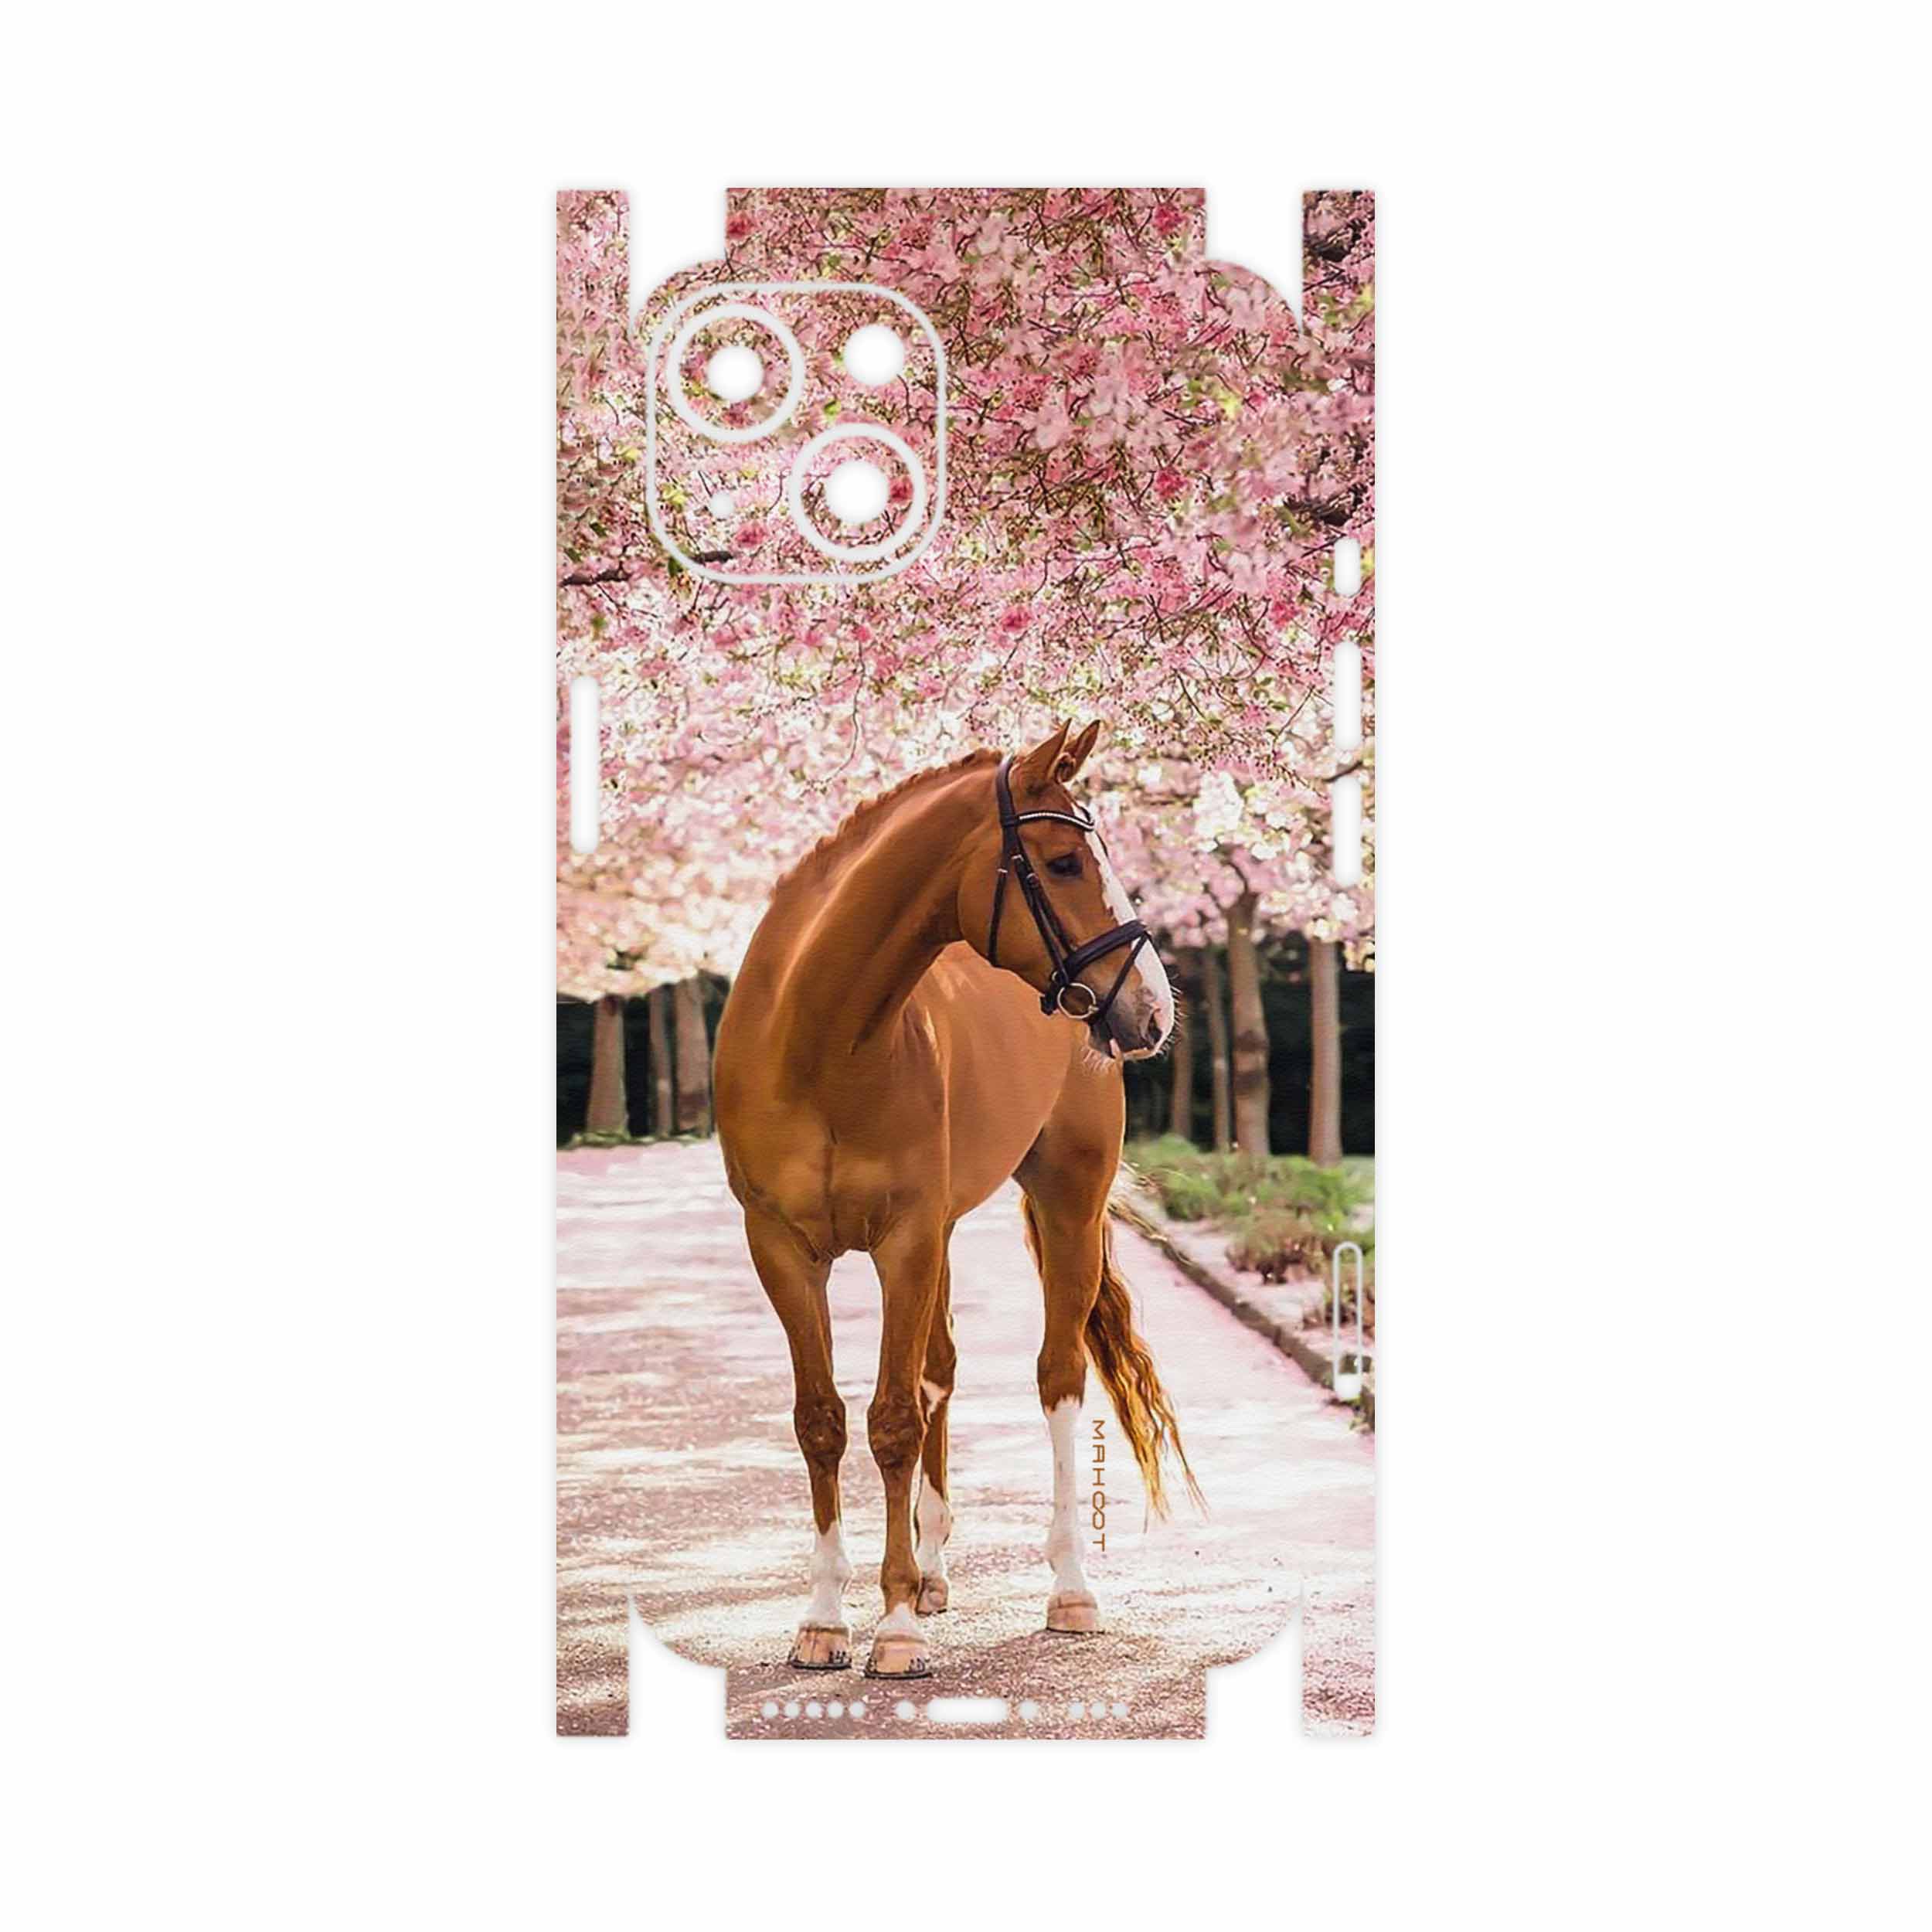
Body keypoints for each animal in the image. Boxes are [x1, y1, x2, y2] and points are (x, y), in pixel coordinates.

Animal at [714, 720, 1197, 1679]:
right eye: (1061, 862)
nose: (1153, 1010)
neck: (818, 1040)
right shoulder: (782, 1248)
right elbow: (822, 1420)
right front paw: (825, 1618)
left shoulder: (903, 1239)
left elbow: (893, 1419)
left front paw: (894, 1628)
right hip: (939, 1234)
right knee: (940, 1369)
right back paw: (934, 1572)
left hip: (1066, 1203)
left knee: (1056, 1377)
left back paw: (1067, 1589)